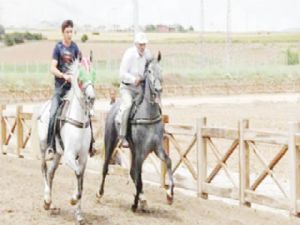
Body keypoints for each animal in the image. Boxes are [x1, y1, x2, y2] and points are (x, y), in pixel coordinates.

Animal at [36, 58, 95, 225]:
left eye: (93, 75)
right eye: (80, 78)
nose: (91, 98)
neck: (78, 122)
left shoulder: (83, 157)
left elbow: (80, 180)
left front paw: (79, 214)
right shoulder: (69, 155)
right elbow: (77, 174)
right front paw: (73, 199)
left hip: (57, 154)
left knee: (51, 173)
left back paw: (52, 205)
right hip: (44, 147)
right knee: (43, 168)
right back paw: (46, 201)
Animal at [97, 51, 175, 212]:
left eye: (161, 69)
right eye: (149, 71)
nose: (158, 89)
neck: (148, 115)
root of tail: (113, 108)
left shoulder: (156, 148)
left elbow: (168, 162)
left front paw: (170, 194)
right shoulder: (140, 151)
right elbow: (139, 179)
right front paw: (134, 204)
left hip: (135, 151)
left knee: (133, 172)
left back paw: (143, 200)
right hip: (111, 143)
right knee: (106, 167)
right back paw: (100, 194)